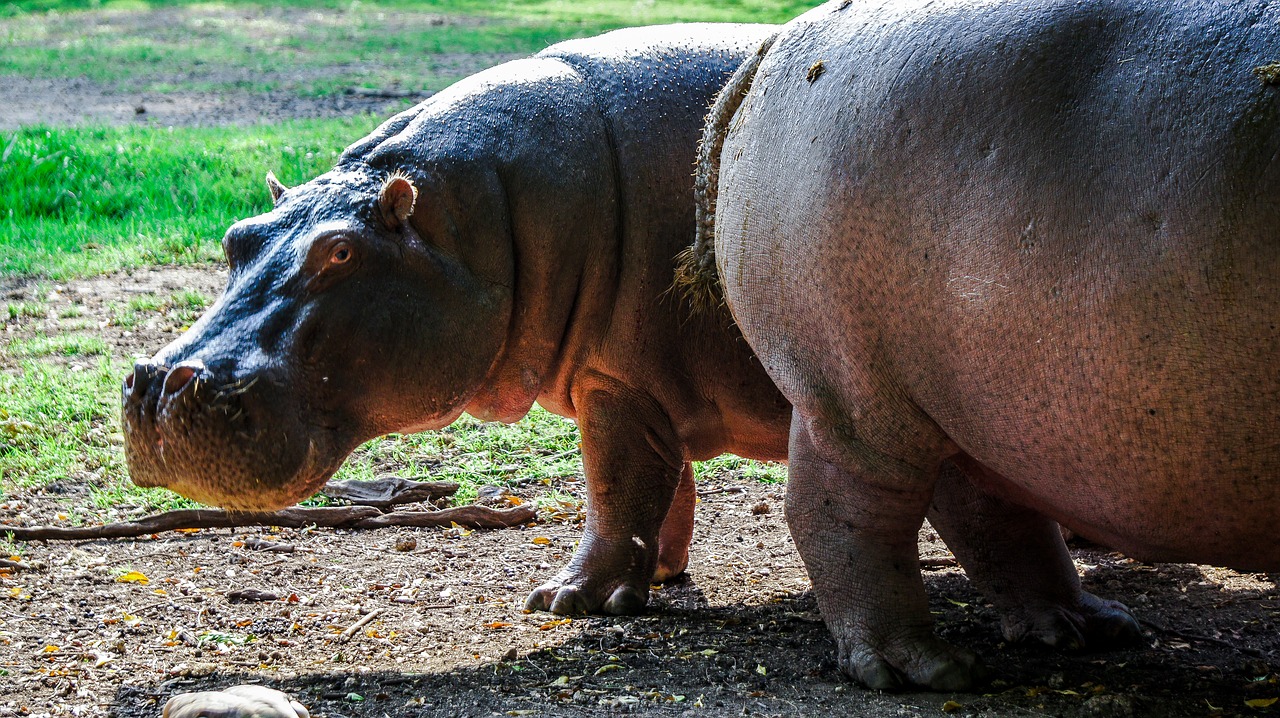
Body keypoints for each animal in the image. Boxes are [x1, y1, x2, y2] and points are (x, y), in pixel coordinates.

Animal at [122, 23, 798, 616]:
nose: (159, 386)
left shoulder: (619, 382)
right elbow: (666, 479)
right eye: (237, 236)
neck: (478, 218)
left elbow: (617, 488)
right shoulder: (645, 383)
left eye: (340, 252)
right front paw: (656, 573)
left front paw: (569, 600)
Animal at [686, 0, 1280, 691]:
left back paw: (1088, 628)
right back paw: (922, 668)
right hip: (851, 394)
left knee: (989, 510)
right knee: (847, 513)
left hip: (977, 401)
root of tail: (783, 41)